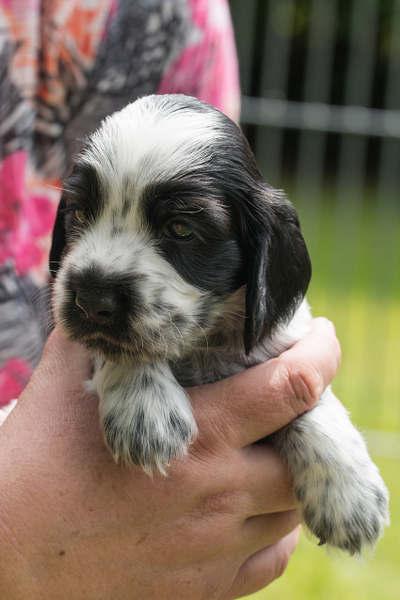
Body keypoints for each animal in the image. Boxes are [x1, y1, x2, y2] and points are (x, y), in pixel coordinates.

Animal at [49, 92, 388, 552]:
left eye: (181, 229)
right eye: (81, 214)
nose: (91, 300)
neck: (204, 345)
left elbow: (315, 402)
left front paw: (349, 493)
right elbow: (123, 348)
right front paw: (146, 408)